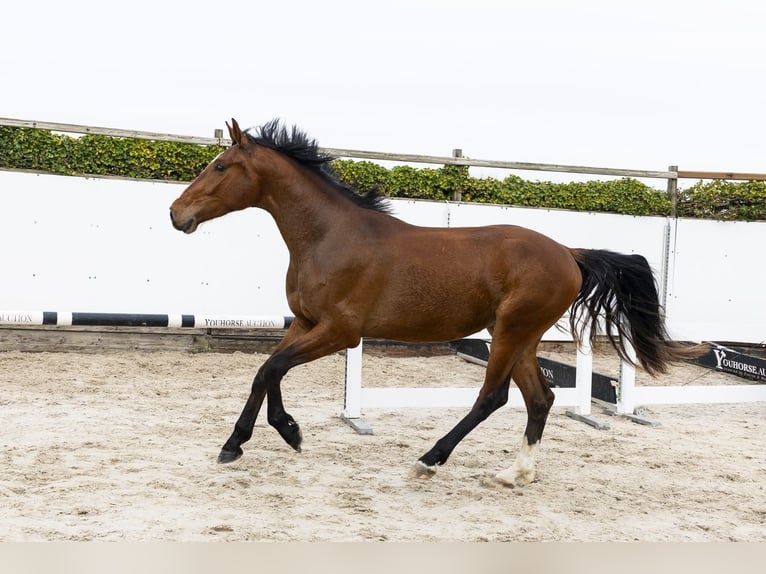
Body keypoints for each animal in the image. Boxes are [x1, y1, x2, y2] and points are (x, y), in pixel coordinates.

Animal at [169, 118, 702, 486]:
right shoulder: (303, 322)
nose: (176, 213)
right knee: (540, 398)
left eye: (220, 166)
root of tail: (570, 254)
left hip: (512, 331)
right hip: (518, 335)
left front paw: (267, 436)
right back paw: (516, 475)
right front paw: (263, 437)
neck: (329, 237)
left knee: (493, 397)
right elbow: (267, 371)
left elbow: (272, 368)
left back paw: (429, 460)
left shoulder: (340, 331)